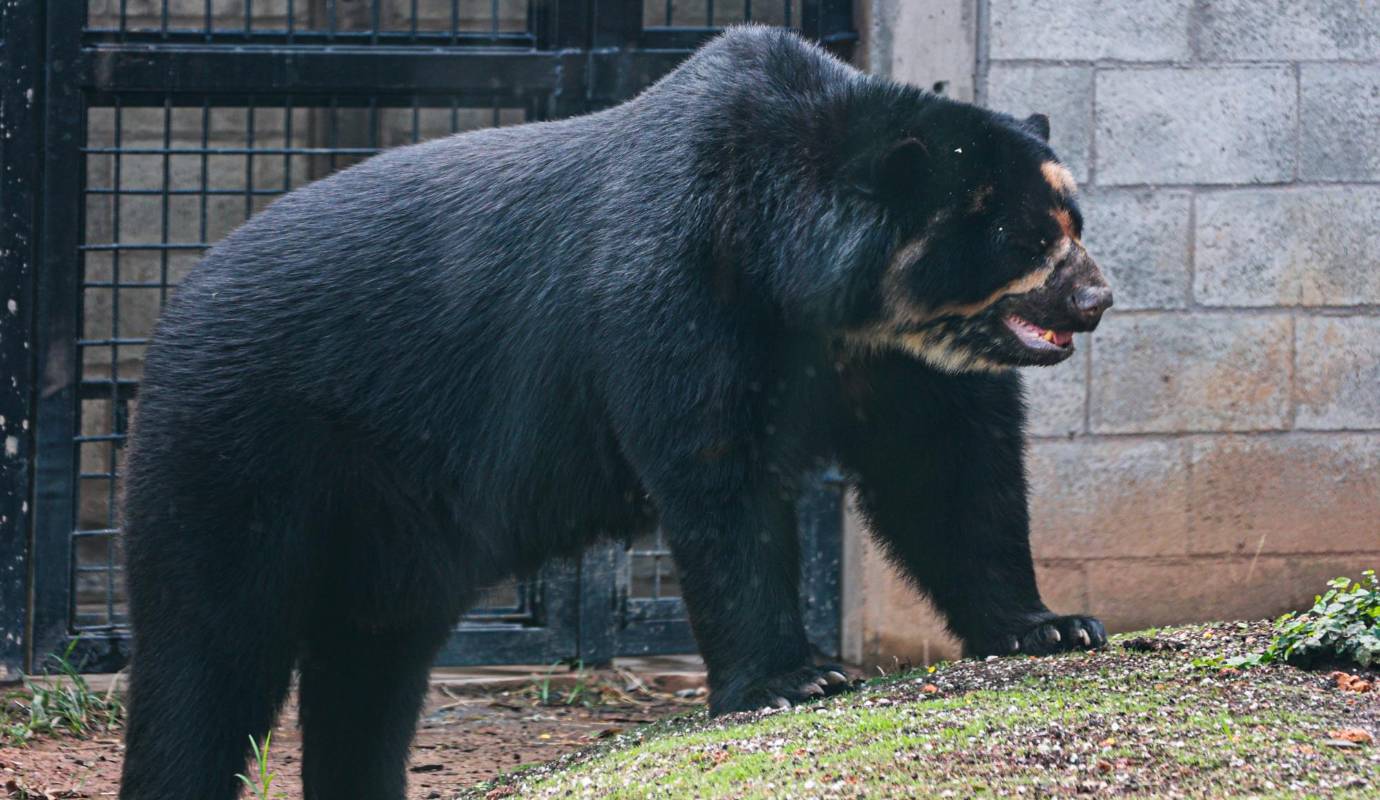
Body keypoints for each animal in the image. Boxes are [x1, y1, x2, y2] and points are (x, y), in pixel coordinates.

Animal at [117, 25, 1113, 800]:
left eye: (1077, 221)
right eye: (1028, 236)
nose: (1096, 299)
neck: (808, 284)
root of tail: (173, 308)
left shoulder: (897, 362)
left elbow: (951, 475)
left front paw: (1052, 625)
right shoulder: (678, 289)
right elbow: (716, 477)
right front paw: (796, 678)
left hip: (392, 524)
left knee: (370, 665)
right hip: (242, 447)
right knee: (209, 648)